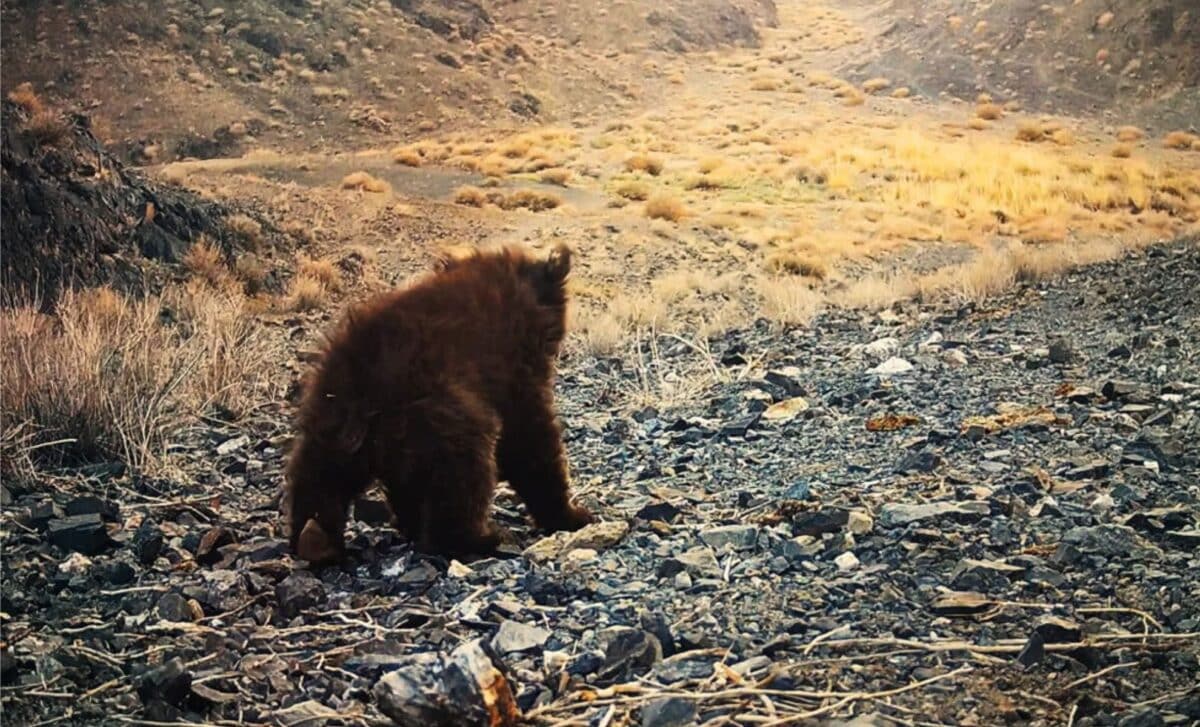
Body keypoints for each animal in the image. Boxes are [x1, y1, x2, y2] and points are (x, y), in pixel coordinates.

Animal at [282, 243, 595, 563]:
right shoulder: (510, 369)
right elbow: (529, 437)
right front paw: (572, 515)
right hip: (438, 408)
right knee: (463, 466)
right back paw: (477, 539)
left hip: (333, 418)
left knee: (320, 472)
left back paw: (317, 538)